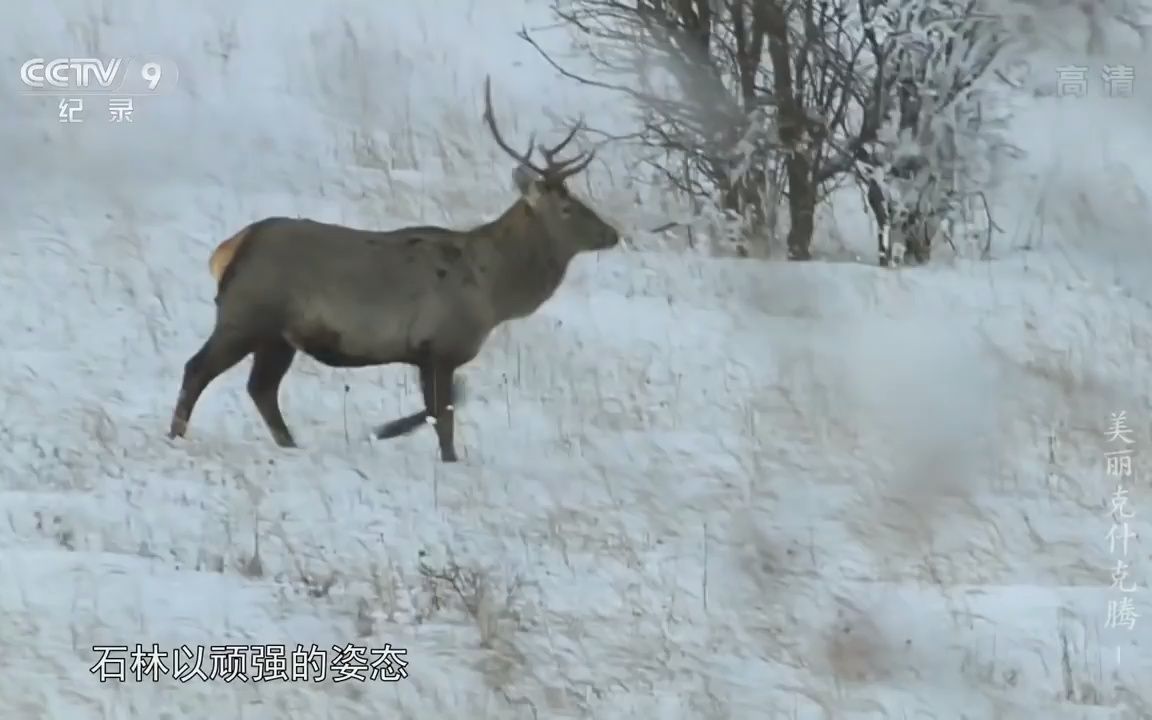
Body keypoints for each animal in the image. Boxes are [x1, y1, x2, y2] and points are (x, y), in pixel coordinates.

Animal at [168, 77, 622, 460]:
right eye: (568, 207)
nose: (613, 233)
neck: (494, 291)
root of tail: (230, 248)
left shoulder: (428, 355)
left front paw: (386, 430)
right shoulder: (440, 347)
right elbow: (444, 419)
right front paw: (418, 446)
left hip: (278, 334)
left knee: (261, 388)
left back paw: (290, 445)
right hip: (246, 313)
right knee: (198, 369)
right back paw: (175, 437)